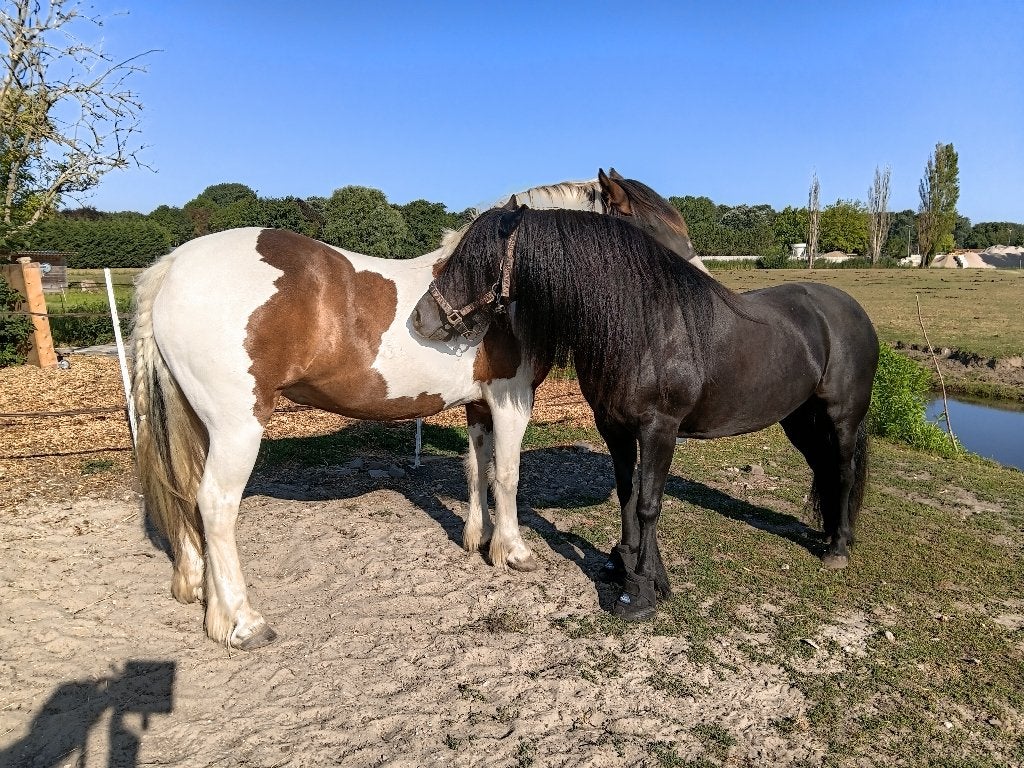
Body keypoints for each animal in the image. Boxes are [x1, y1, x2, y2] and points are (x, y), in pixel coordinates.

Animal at [130, 170, 685, 648]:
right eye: (661, 233)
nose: (692, 284)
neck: (503, 284)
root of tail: (174, 266)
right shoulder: (511, 399)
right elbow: (507, 475)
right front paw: (513, 551)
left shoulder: (479, 406)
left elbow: (476, 468)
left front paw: (477, 538)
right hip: (237, 427)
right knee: (216, 506)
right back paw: (242, 622)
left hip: (200, 423)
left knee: (186, 494)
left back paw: (199, 590)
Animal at [412, 205, 879, 622]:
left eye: (474, 259)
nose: (420, 319)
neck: (644, 327)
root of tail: (852, 309)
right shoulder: (613, 427)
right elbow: (627, 494)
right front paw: (629, 567)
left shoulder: (660, 429)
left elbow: (650, 504)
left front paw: (641, 591)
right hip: (799, 420)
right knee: (824, 468)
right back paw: (829, 533)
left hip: (841, 419)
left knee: (843, 472)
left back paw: (837, 548)